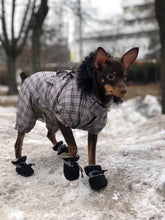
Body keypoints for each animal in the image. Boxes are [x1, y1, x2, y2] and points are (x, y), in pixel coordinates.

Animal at [11, 47, 138, 190]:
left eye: (125, 77)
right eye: (111, 76)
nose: (124, 90)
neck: (95, 99)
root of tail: (26, 78)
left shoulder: (94, 129)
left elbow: (91, 154)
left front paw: (95, 174)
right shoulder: (62, 119)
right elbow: (74, 145)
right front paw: (71, 164)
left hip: (50, 116)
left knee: (49, 134)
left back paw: (60, 148)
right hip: (27, 114)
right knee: (19, 142)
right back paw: (21, 165)